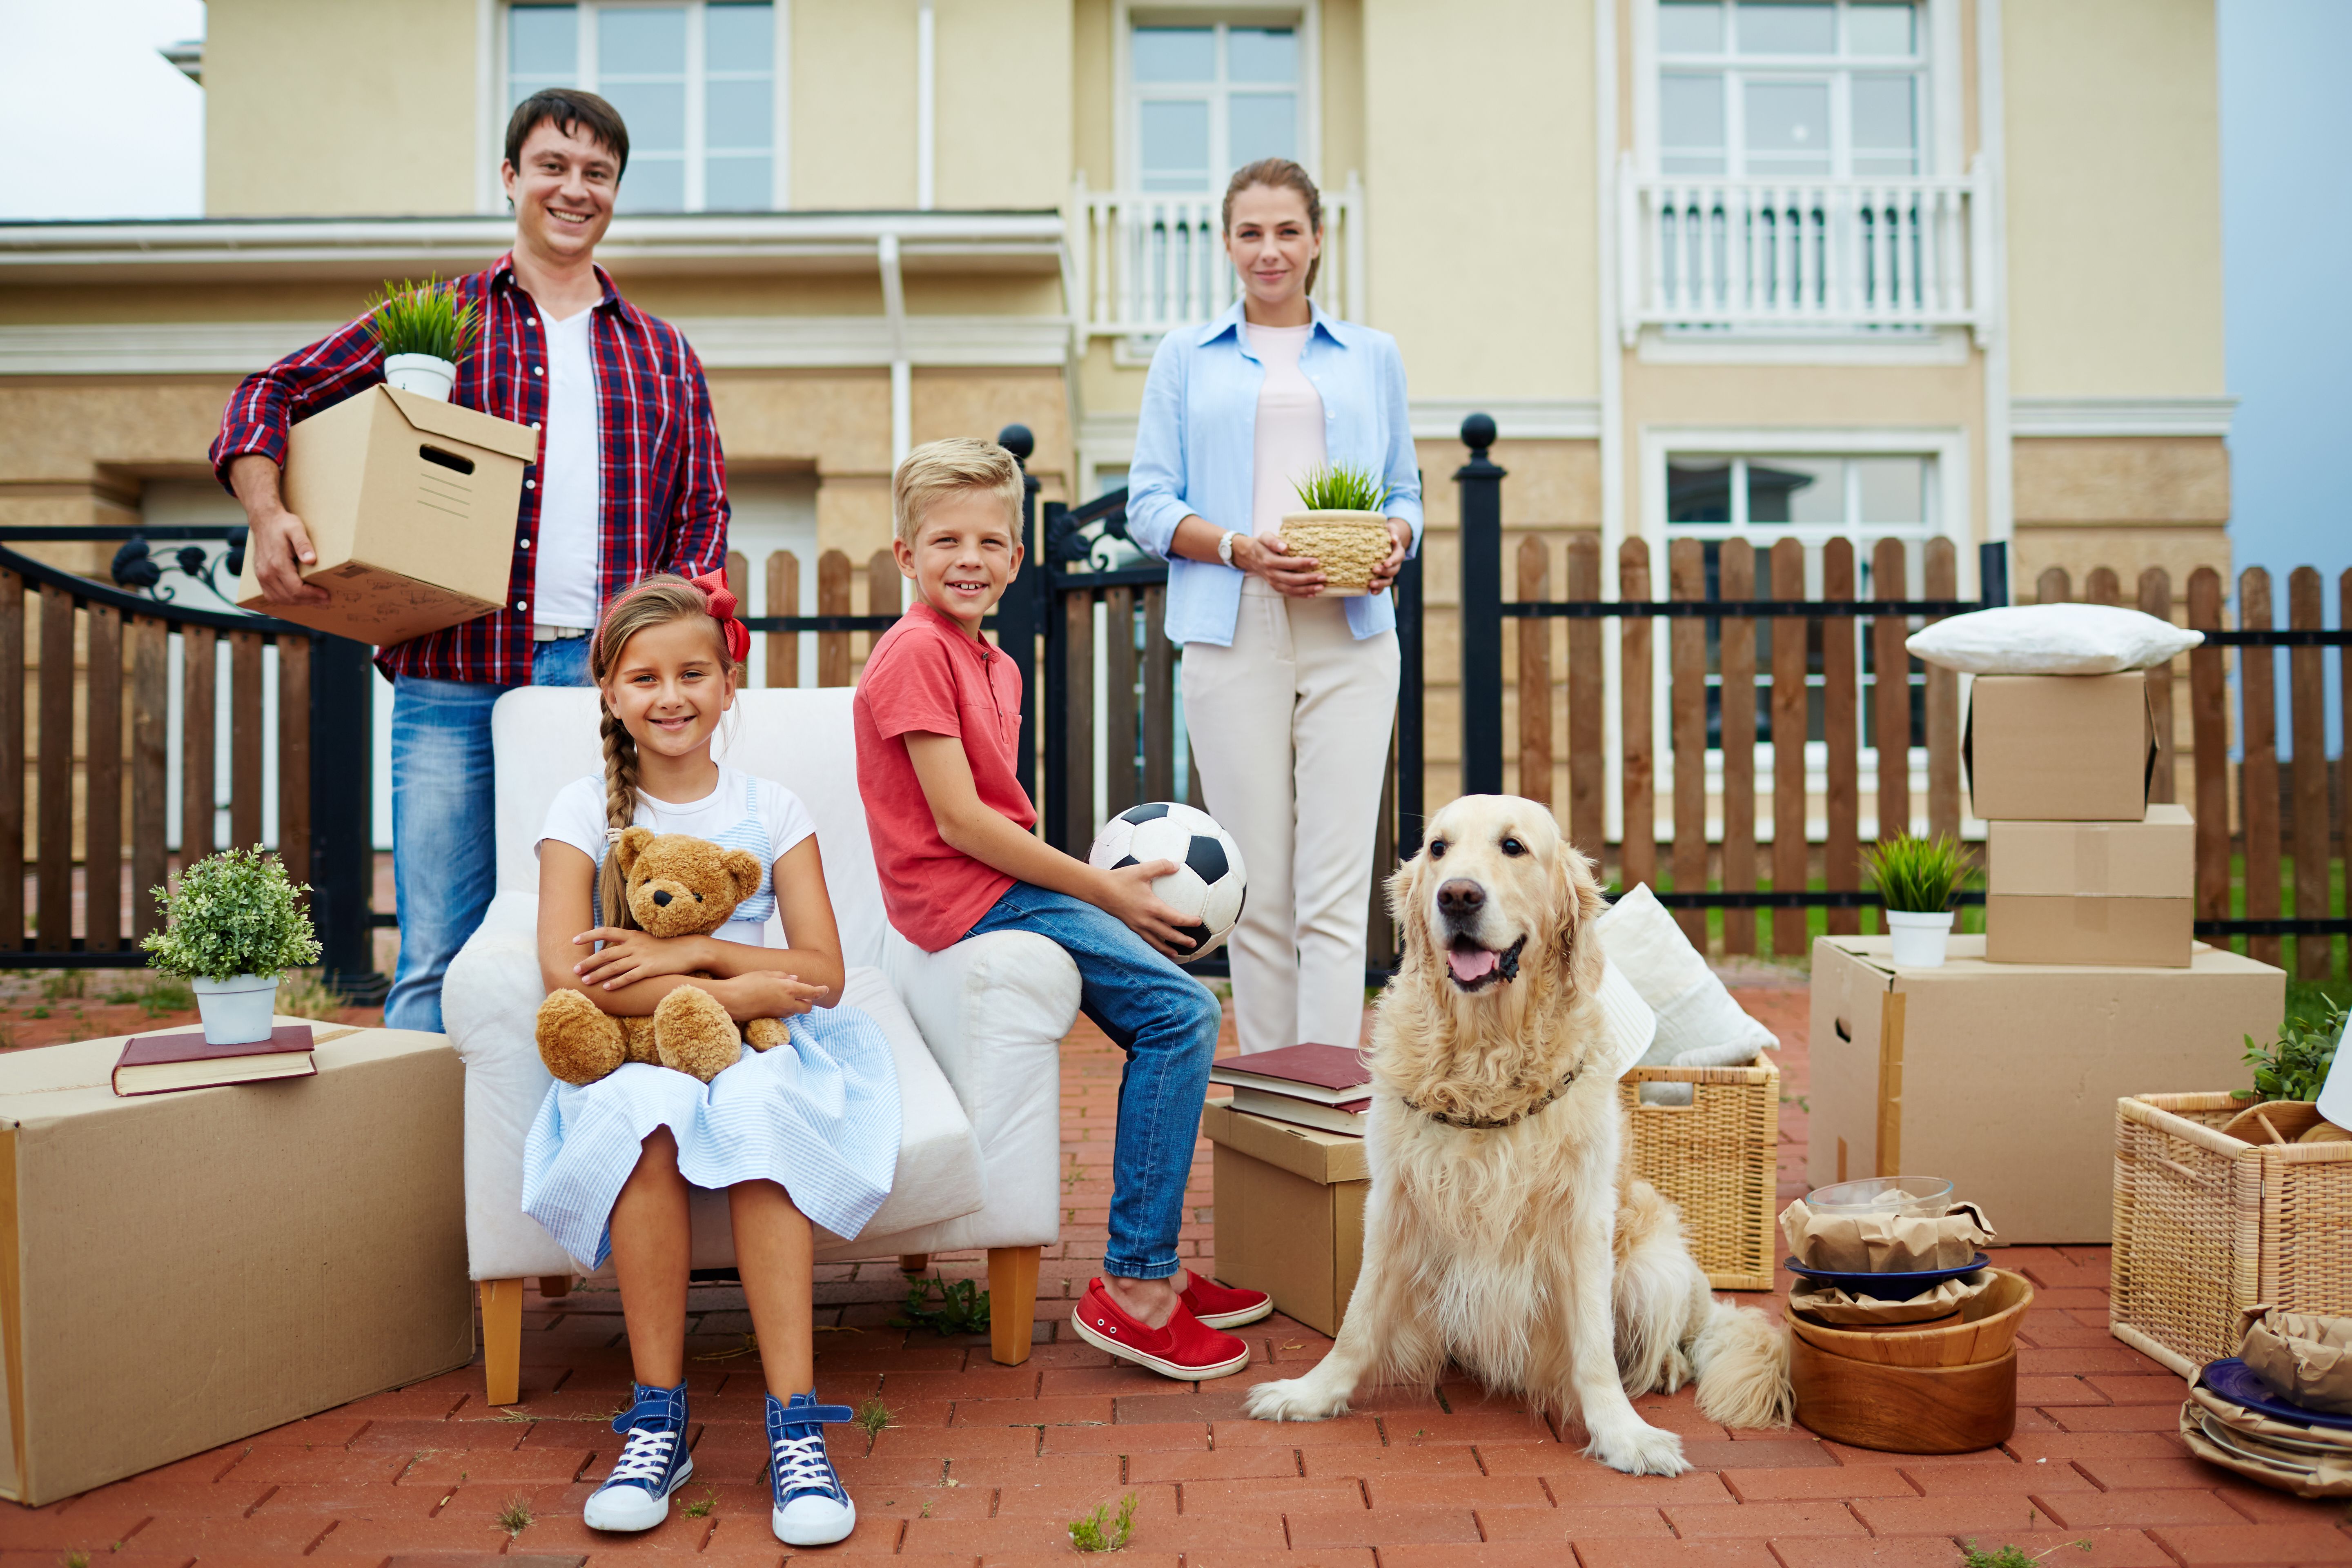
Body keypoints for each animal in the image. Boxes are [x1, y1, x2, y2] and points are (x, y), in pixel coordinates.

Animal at [1242, 804, 1787, 1476]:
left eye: (1513, 847)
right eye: (1438, 848)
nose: (1457, 896)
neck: (1485, 1057)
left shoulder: (1583, 1221)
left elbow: (1594, 1350)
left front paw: (1623, 1434)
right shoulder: (1395, 1206)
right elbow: (1357, 1320)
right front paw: (1313, 1393)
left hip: (1653, 1267)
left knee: (1675, 1339)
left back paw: (1663, 1369)